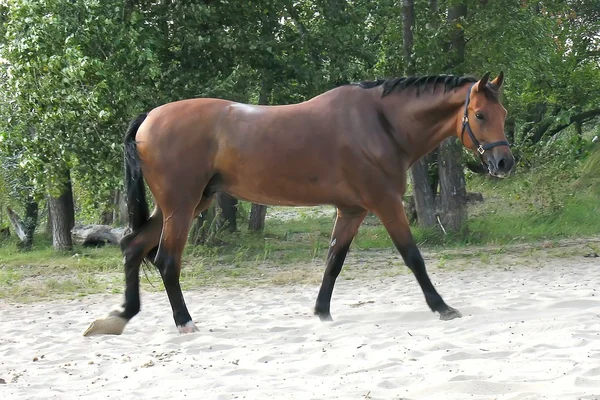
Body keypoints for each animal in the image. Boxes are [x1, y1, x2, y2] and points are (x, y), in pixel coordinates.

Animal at [83, 72, 516, 338]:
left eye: (503, 113)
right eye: (479, 114)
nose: (504, 163)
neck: (380, 123)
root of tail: (149, 118)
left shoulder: (353, 210)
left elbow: (334, 261)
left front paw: (321, 312)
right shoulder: (386, 203)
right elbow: (413, 257)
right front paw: (442, 307)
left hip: (189, 204)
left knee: (133, 246)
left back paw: (120, 316)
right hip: (182, 206)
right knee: (166, 260)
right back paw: (184, 322)